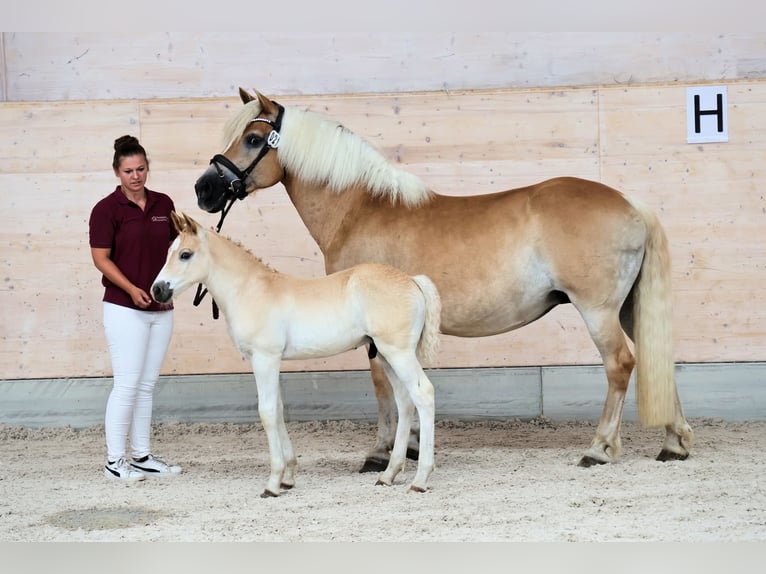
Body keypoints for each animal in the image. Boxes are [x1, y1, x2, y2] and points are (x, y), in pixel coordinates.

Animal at [151, 211, 442, 496]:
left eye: (185, 254)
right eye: (168, 251)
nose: (158, 289)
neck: (251, 290)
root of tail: (412, 280)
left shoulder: (265, 359)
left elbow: (267, 412)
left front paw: (273, 483)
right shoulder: (271, 361)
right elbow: (279, 410)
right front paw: (288, 477)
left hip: (398, 353)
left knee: (424, 394)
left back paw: (420, 479)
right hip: (384, 355)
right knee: (405, 401)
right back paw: (389, 475)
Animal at [193, 88, 694, 471]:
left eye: (253, 138)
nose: (204, 189)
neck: (360, 209)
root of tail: (629, 203)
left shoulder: (375, 330)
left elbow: (383, 386)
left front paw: (382, 453)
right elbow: (402, 387)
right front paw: (411, 447)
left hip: (597, 311)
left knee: (621, 365)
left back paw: (599, 449)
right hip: (628, 309)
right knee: (657, 359)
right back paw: (674, 443)